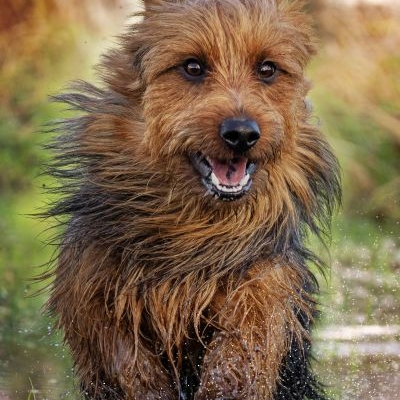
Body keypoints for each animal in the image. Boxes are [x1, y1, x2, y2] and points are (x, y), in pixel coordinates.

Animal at [44, 1, 340, 398]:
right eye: (193, 67)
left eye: (267, 69)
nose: (241, 133)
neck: (192, 229)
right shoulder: (93, 291)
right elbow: (127, 363)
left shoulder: (263, 287)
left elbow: (240, 355)